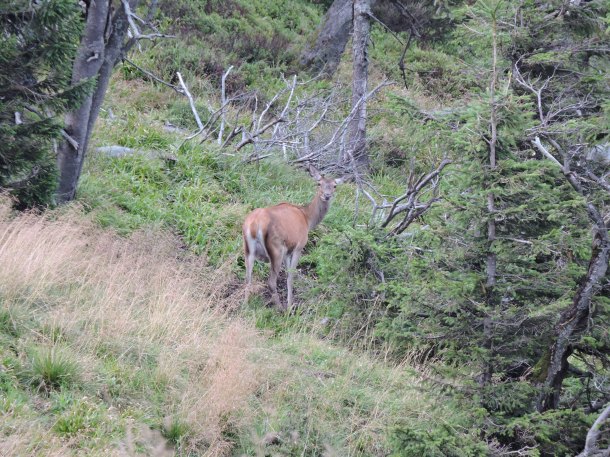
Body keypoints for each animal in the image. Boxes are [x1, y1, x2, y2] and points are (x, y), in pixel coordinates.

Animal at [245, 165, 344, 310]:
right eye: (319, 183)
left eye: (334, 186)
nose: (327, 195)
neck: (307, 219)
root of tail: (255, 223)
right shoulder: (299, 246)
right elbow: (291, 276)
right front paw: (290, 305)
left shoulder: (288, 251)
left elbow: (287, 274)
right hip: (276, 249)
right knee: (271, 281)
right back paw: (280, 308)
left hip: (248, 249)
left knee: (248, 277)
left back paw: (246, 304)